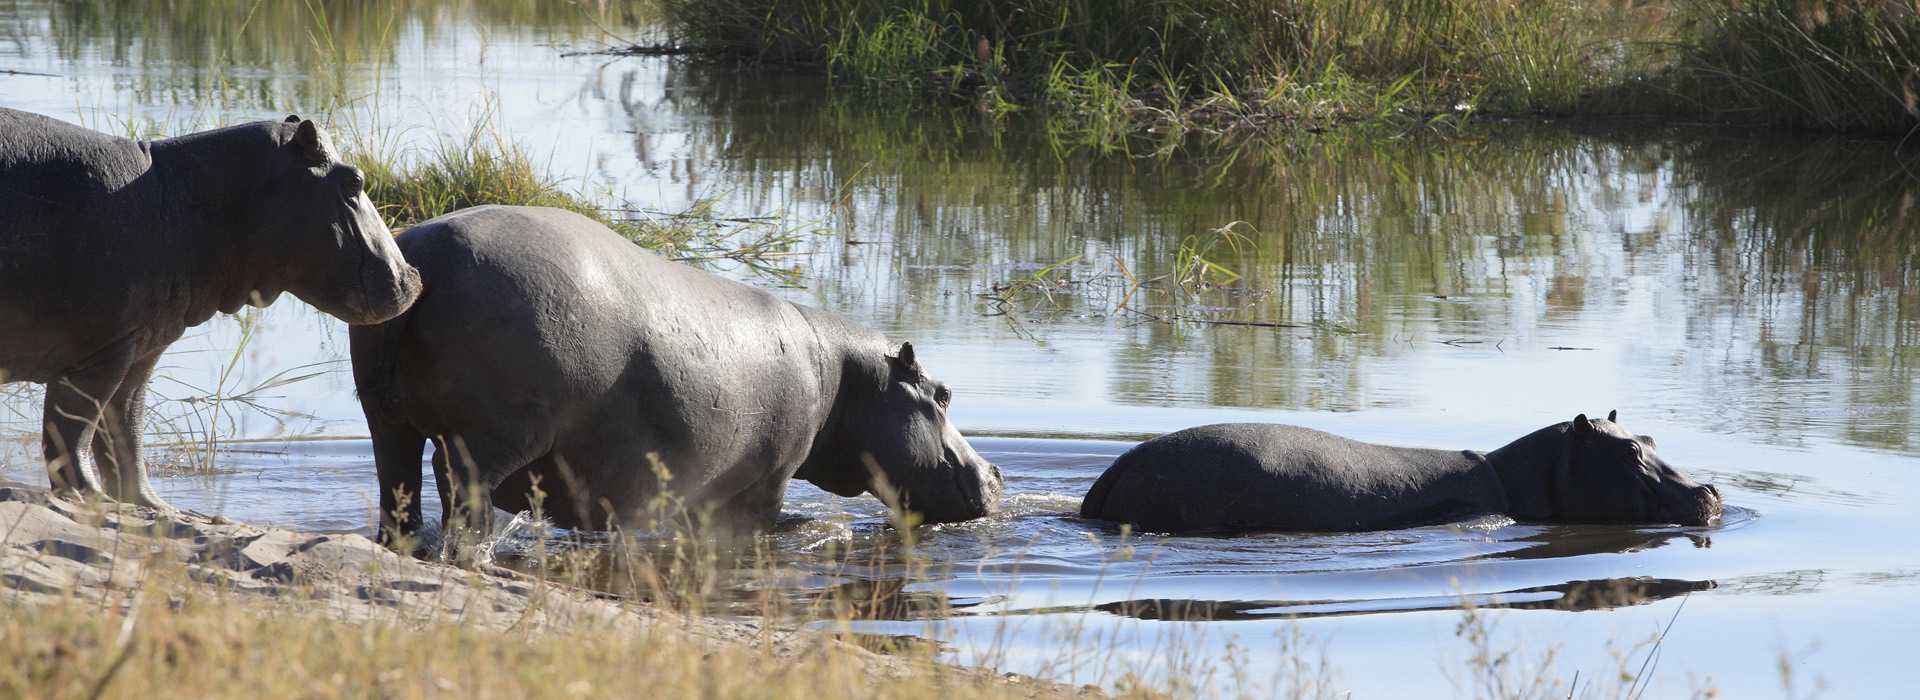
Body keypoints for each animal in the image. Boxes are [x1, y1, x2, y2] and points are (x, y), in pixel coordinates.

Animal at [0, 110, 420, 513]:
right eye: (354, 181)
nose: (414, 278)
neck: (178, 195)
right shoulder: (99, 353)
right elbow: (73, 429)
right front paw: (91, 499)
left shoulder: (141, 347)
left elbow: (125, 430)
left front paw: (154, 506)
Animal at [347, 203, 1006, 552]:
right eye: (943, 394)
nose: (996, 474)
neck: (848, 375)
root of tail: (426, 257)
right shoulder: (765, 480)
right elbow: (768, 524)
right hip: (492, 437)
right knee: (459, 489)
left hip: (386, 418)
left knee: (400, 484)